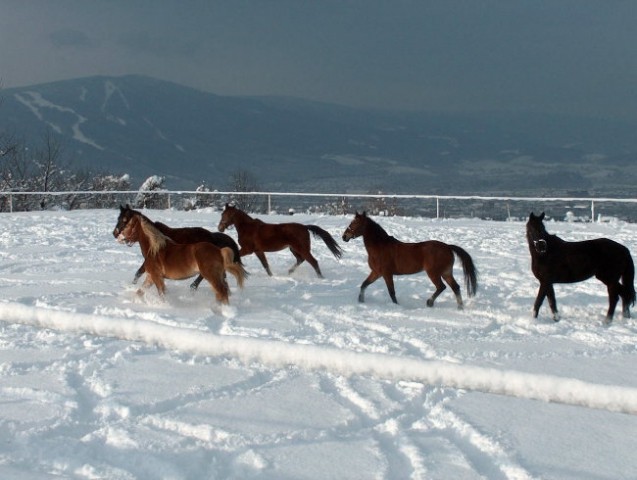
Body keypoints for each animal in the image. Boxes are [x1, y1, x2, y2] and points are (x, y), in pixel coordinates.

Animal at [113, 207, 247, 304]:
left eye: (126, 223)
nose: (117, 236)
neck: (154, 249)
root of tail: (219, 250)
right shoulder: (150, 277)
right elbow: (140, 291)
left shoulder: (156, 276)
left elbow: (162, 293)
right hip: (216, 274)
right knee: (222, 290)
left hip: (210, 275)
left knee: (221, 291)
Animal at [342, 211, 476, 308]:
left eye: (354, 223)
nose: (344, 236)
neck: (380, 247)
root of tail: (448, 247)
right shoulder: (376, 273)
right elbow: (364, 284)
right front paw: (361, 300)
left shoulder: (386, 273)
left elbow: (391, 291)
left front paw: (396, 305)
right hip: (446, 272)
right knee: (455, 287)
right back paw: (459, 307)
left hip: (433, 273)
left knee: (441, 287)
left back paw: (430, 302)